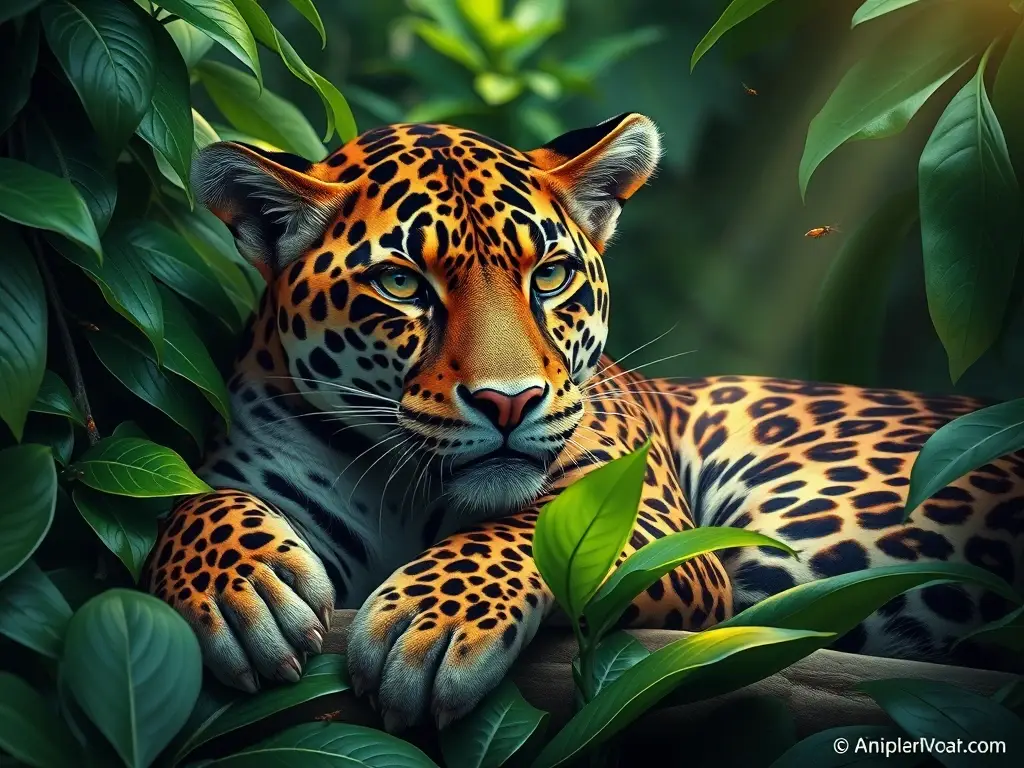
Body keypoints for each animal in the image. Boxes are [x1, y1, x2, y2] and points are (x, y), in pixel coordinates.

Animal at [143, 113, 1024, 732]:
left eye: (552, 275)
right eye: (401, 284)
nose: (509, 401)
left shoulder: (661, 530)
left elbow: (527, 526)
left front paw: (428, 621)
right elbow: (185, 501)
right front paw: (239, 587)